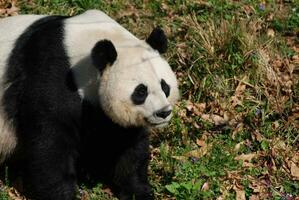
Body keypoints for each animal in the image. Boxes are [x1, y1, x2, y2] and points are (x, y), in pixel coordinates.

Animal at [0, 9, 179, 200]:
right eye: (140, 92)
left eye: (165, 86)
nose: (163, 112)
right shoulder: (48, 76)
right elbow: (50, 143)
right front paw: (62, 194)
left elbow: (128, 145)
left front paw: (138, 191)